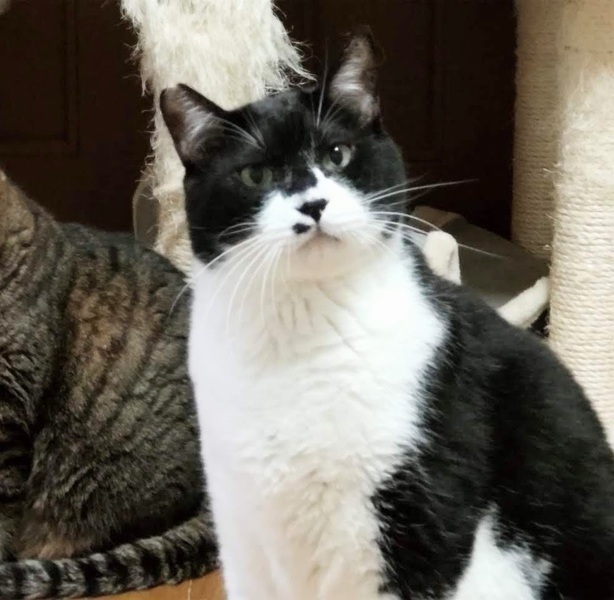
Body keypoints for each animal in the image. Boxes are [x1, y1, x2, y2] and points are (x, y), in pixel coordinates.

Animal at [161, 33, 614, 600]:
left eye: (338, 154)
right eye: (255, 174)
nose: (313, 204)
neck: (303, 332)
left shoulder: (421, 511)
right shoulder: (239, 518)